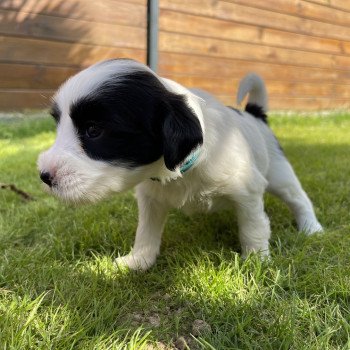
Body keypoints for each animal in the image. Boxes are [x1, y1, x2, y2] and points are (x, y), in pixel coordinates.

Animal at [37, 58, 322, 270]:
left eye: (94, 130)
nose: (44, 175)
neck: (177, 172)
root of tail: (255, 115)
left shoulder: (247, 192)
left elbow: (253, 227)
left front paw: (256, 262)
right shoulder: (151, 198)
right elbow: (146, 232)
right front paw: (138, 261)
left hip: (279, 174)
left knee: (299, 199)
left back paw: (311, 228)